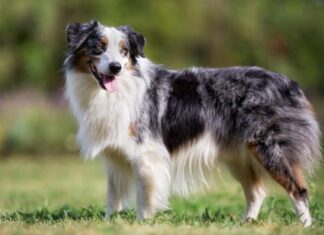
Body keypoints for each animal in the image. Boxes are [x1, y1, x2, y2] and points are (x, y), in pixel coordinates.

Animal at [64, 21, 322, 227]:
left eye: (124, 51)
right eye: (98, 48)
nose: (115, 68)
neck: (109, 92)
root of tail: (290, 83)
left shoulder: (147, 156)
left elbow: (145, 198)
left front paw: (142, 224)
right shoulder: (115, 159)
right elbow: (113, 200)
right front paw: (110, 225)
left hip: (270, 148)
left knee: (298, 189)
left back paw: (306, 226)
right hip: (238, 156)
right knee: (257, 192)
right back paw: (246, 223)